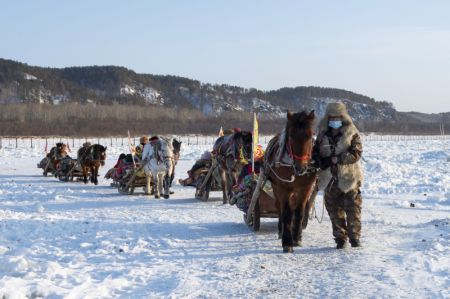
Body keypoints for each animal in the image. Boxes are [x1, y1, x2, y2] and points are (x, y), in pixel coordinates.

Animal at [264, 110, 316, 253]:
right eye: (291, 136)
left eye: (310, 135)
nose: (301, 167)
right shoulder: (283, 188)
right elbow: (287, 213)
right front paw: (287, 242)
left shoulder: (305, 188)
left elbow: (299, 212)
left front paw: (297, 237)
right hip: (276, 187)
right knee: (279, 207)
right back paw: (281, 230)